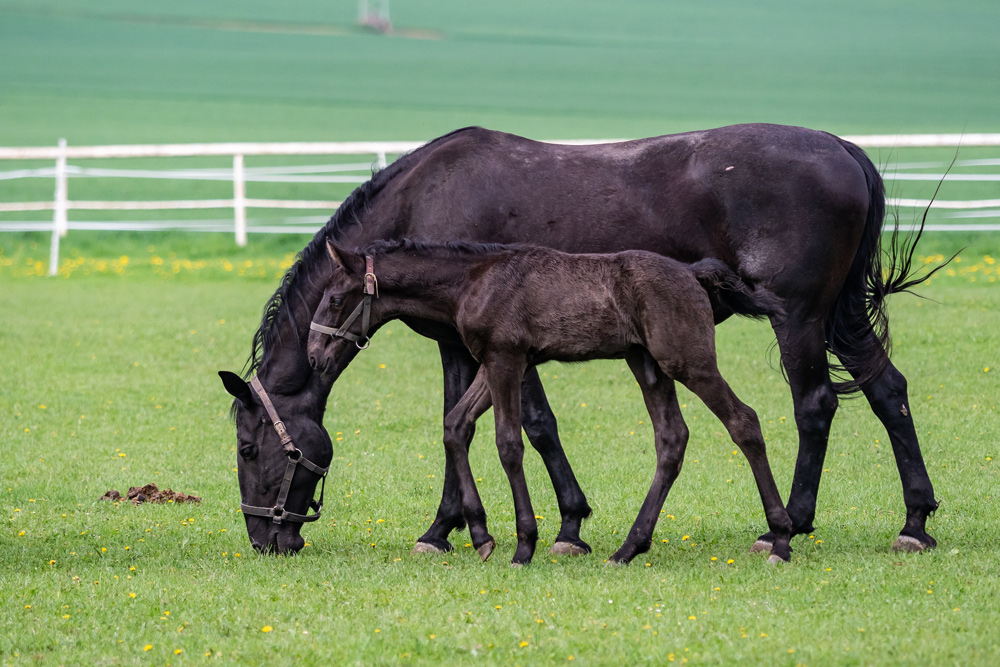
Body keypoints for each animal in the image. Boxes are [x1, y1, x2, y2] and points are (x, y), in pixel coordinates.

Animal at [307, 239, 793, 565]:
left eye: (335, 298)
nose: (313, 356)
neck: (472, 281)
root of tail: (692, 273)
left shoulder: (506, 359)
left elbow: (508, 443)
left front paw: (524, 544)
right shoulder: (495, 363)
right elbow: (456, 425)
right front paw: (480, 534)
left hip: (686, 360)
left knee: (744, 421)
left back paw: (781, 538)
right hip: (647, 364)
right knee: (672, 439)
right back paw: (628, 548)